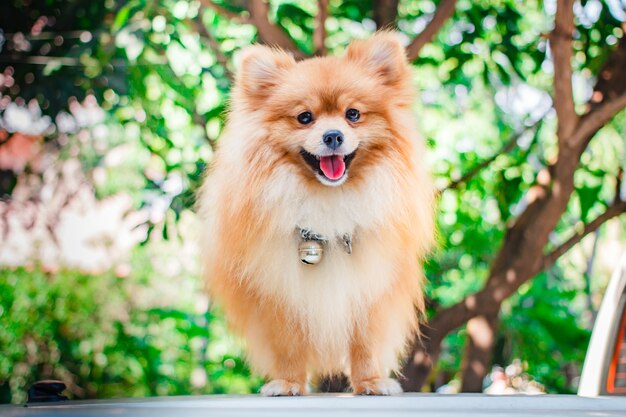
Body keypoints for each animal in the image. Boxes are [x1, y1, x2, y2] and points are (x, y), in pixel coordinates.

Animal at [197, 31, 432, 394]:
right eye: (305, 117)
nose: (333, 135)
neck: (328, 200)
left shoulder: (369, 287)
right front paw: (288, 383)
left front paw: (370, 382)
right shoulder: (280, 291)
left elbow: (365, 343)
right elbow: (289, 346)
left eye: (353, 114)